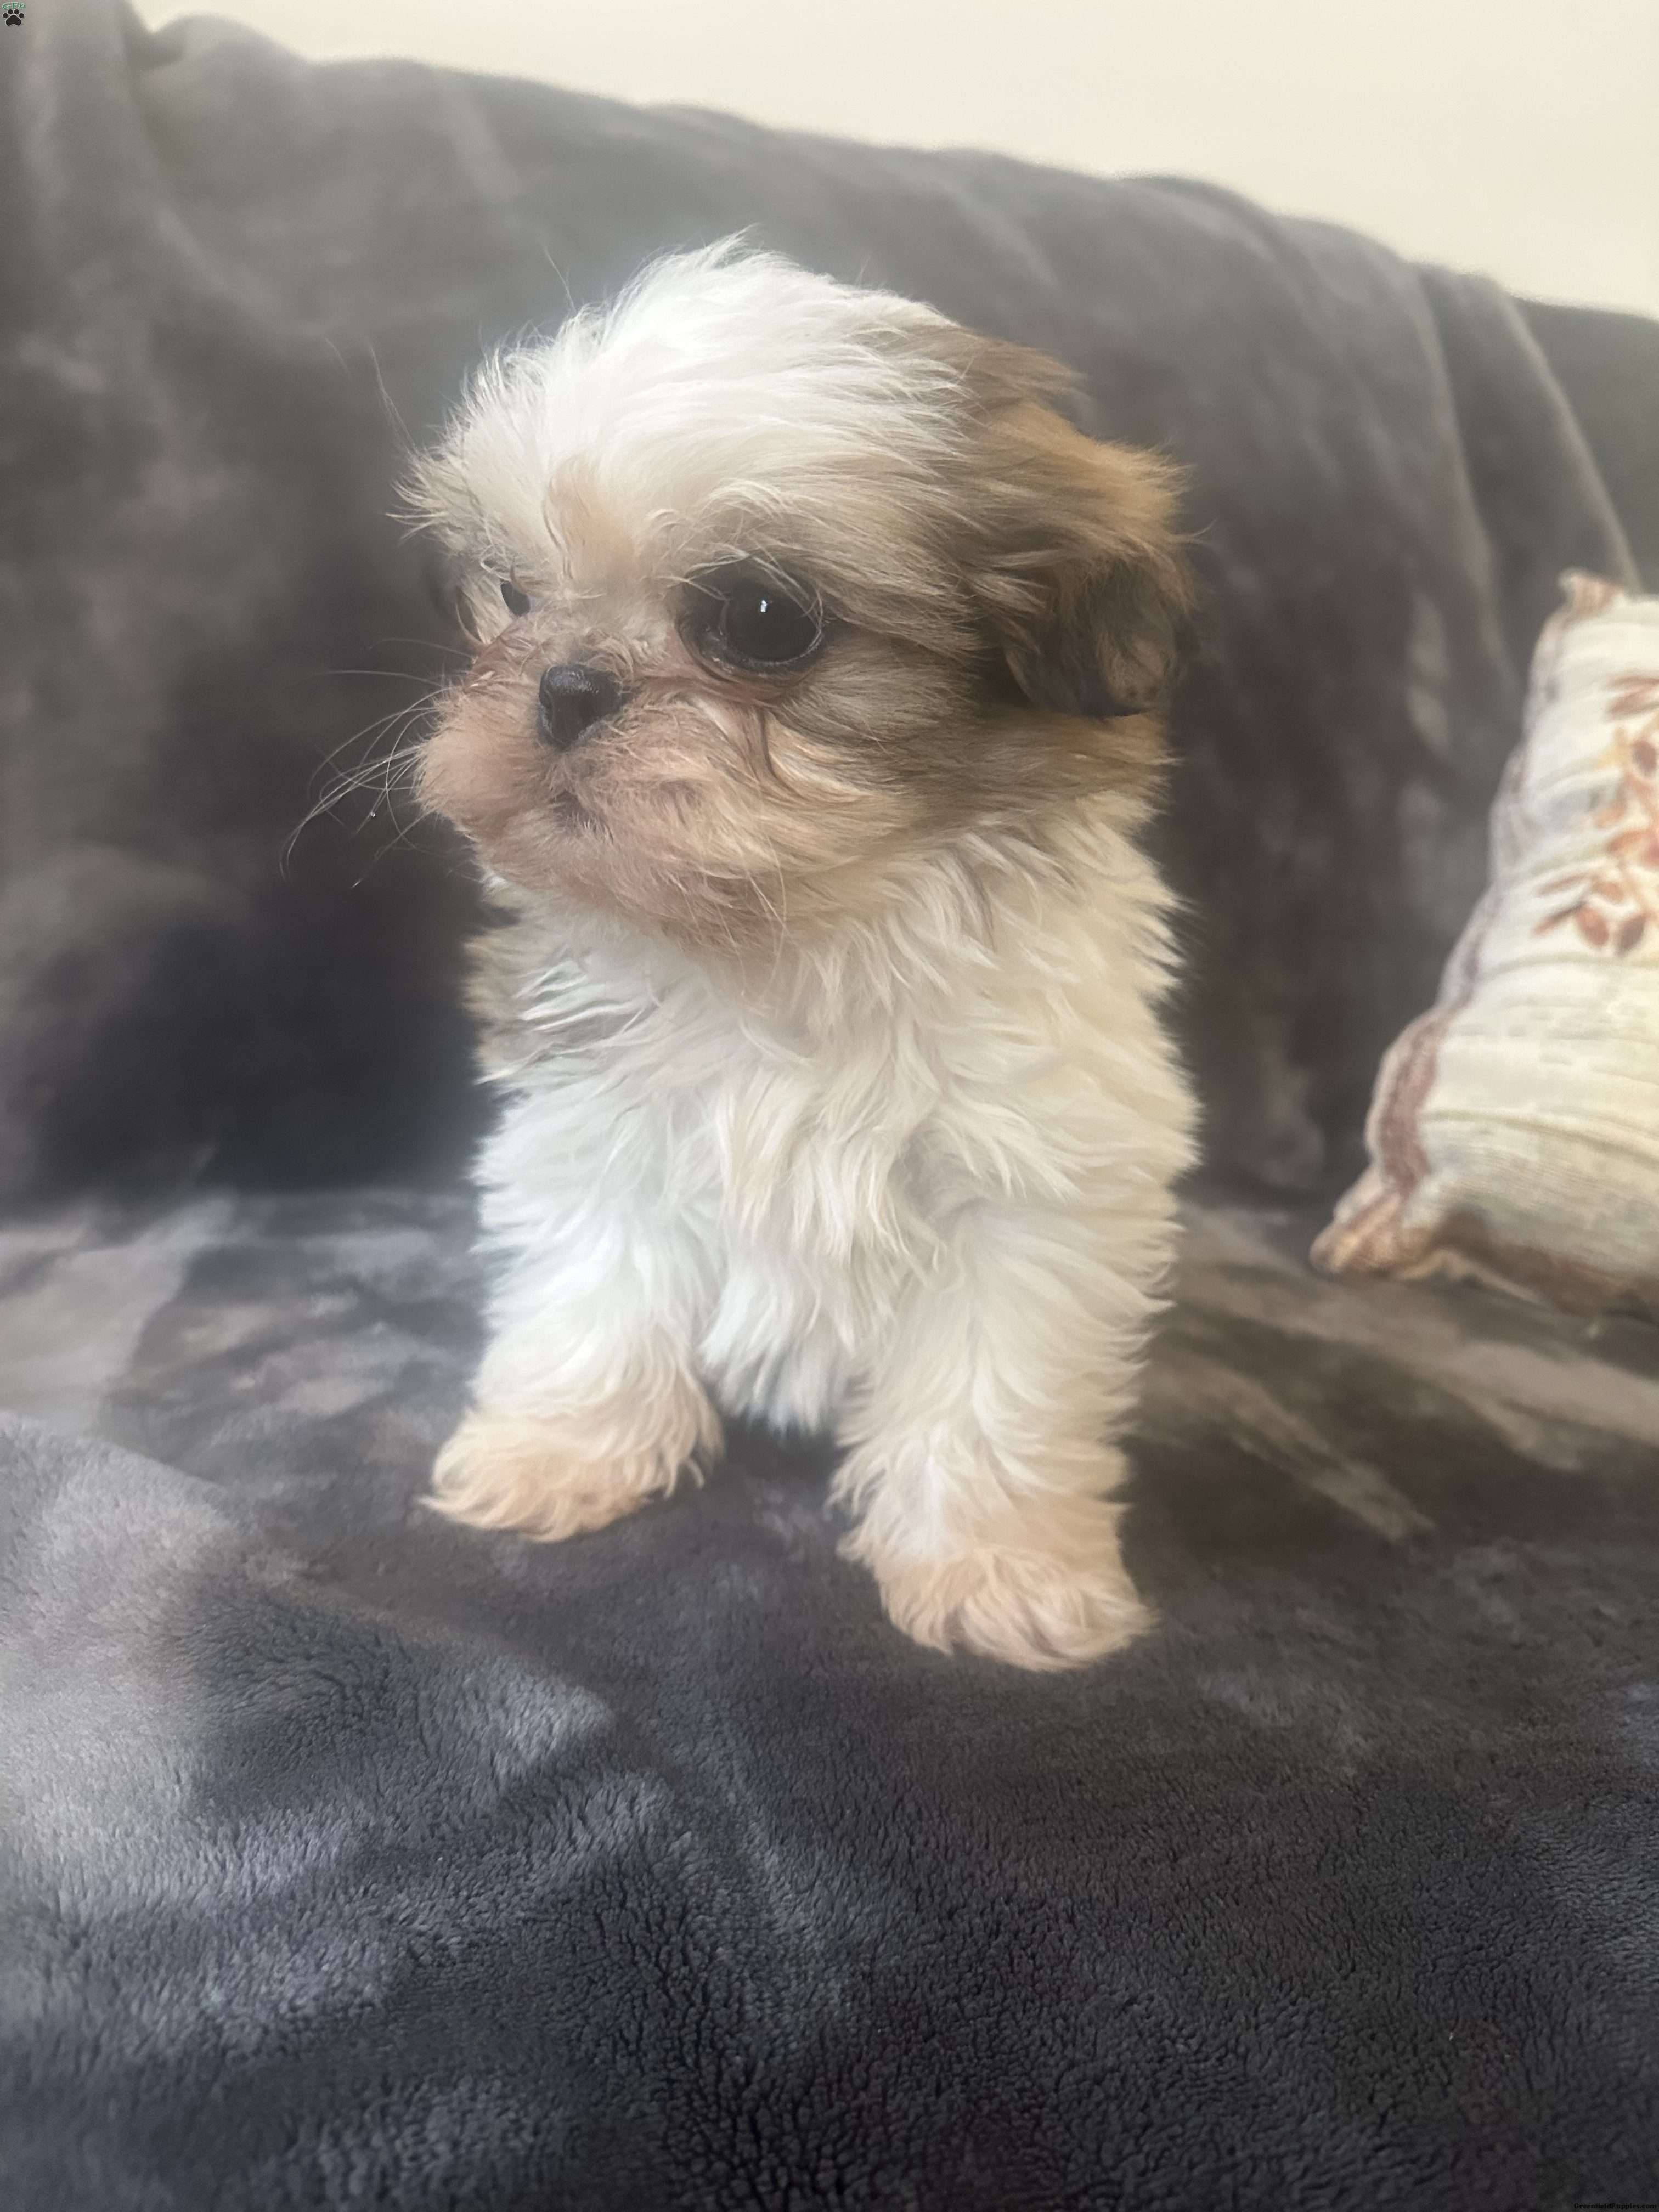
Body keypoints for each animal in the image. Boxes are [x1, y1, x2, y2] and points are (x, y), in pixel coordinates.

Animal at [406, 244, 1197, 1668]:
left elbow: (992, 1389)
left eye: (765, 619)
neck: (790, 936)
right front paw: (560, 1453)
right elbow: (594, 1293)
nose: (563, 684)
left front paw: (997, 1567)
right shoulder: (595, 1128)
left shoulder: (1037, 1185)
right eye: (515, 594)